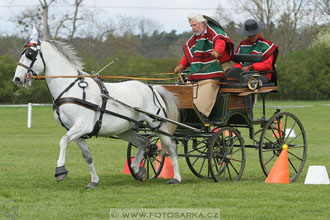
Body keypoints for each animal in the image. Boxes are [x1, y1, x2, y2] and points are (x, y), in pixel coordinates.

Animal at [12, 37, 182, 188]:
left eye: (30, 54)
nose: (17, 79)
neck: (70, 88)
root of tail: (152, 87)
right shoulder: (75, 130)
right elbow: (87, 156)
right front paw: (93, 181)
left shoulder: (82, 125)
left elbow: (63, 141)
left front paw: (60, 170)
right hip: (125, 129)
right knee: (143, 142)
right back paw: (138, 170)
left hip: (157, 124)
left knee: (171, 146)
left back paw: (176, 178)